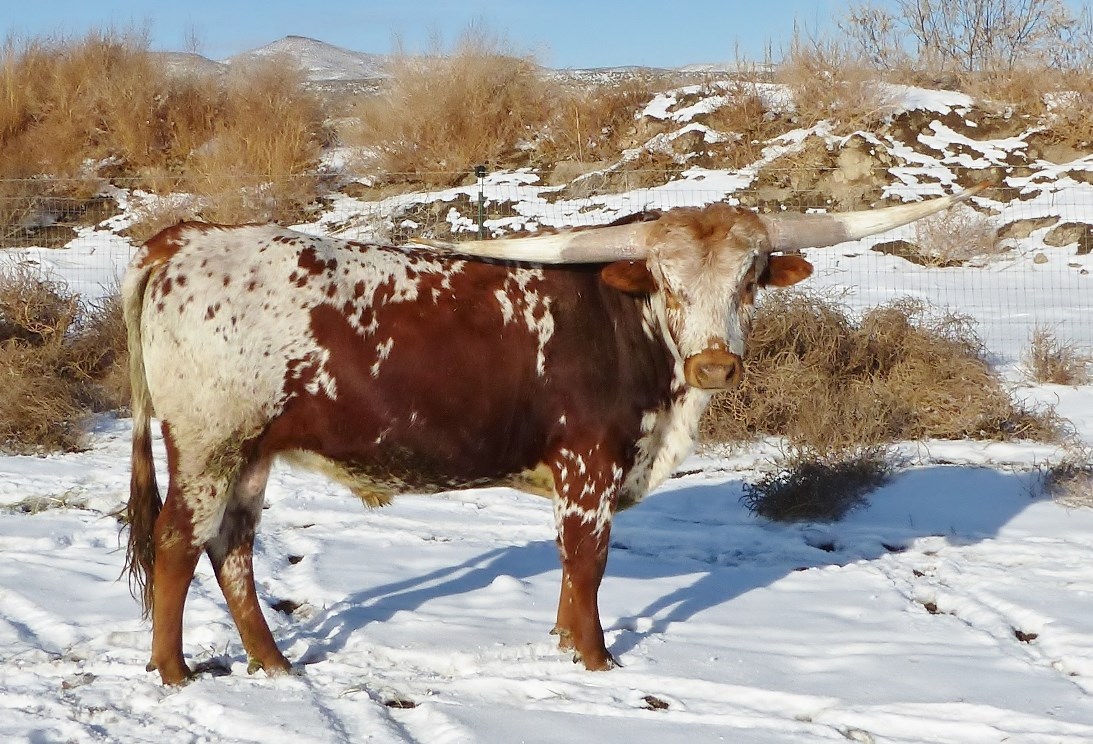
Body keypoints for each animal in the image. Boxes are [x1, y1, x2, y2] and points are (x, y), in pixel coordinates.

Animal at [122, 185, 984, 684]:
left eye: (750, 278)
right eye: (668, 281)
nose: (713, 363)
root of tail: (184, 237)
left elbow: (574, 570)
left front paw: (567, 647)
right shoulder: (588, 463)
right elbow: (586, 562)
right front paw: (595, 660)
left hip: (251, 452)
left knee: (231, 548)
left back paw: (274, 665)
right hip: (210, 440)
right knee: (177, 542)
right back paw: (172, 670)